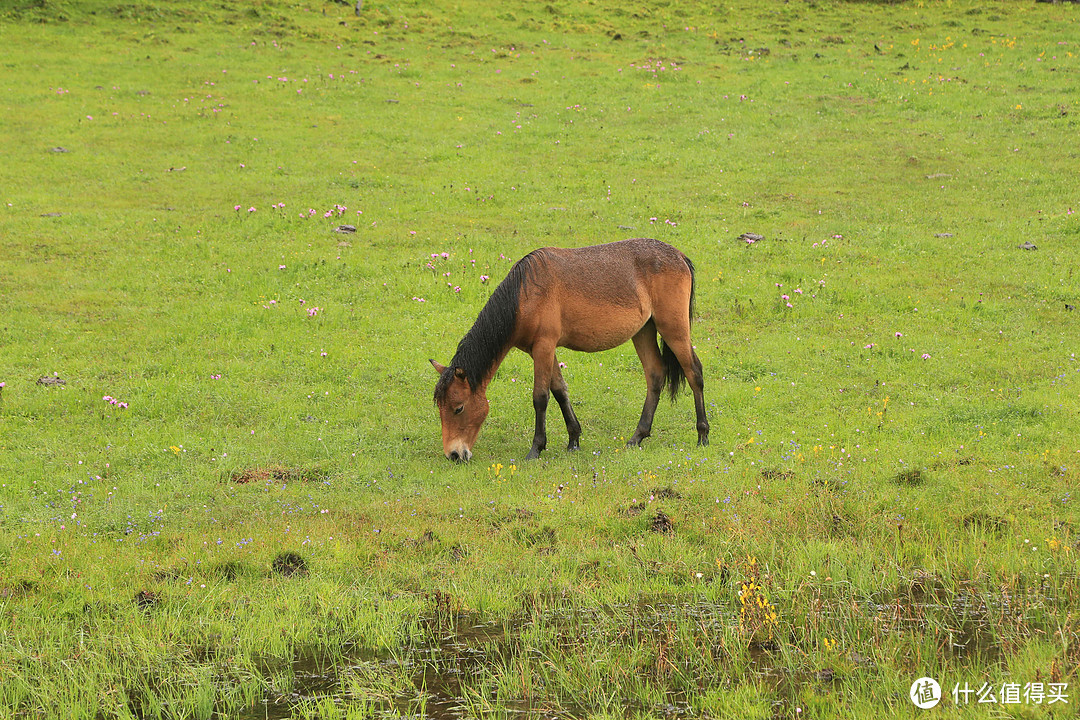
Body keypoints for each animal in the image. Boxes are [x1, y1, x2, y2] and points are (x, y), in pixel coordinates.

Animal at [429, 237, 708, 462]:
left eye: (458, 408)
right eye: (440, 409)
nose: (454, 454)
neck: (523, 295)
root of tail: (679, 256)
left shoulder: (544, 346)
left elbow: (540, 397)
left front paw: (536, 448)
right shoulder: (542, 349)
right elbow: (560, 390)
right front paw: (573, 439)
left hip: (673, 328)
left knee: (694, 372)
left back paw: (702, 434)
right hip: (644, 331)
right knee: (655, 374)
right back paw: (638, 436)